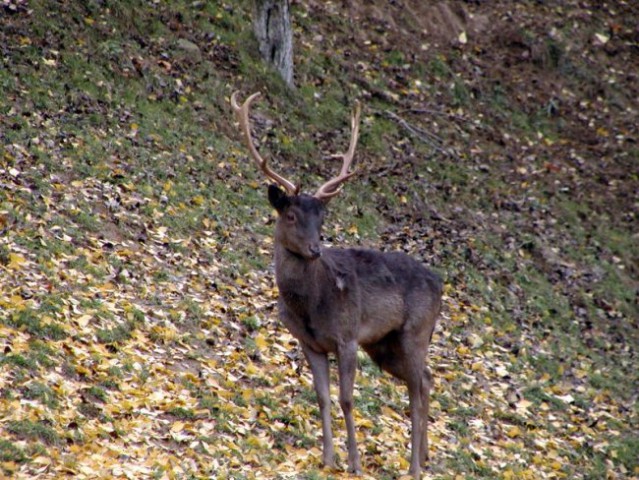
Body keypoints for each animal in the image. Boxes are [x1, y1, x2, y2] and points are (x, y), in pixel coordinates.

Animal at [231, 92, 444, 478]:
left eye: (322, 219)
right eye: (291, 215)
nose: (315, 249)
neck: (310, 306)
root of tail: (440, 284)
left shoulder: (347, 336)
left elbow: (346, 398)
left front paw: (354, 463)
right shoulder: (309, 342)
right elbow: (322, 397)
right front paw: (328, 458)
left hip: (416, 331)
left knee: (417, 386)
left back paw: (413, 467)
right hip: (384, 345)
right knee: (425, 379)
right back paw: (424, 458)